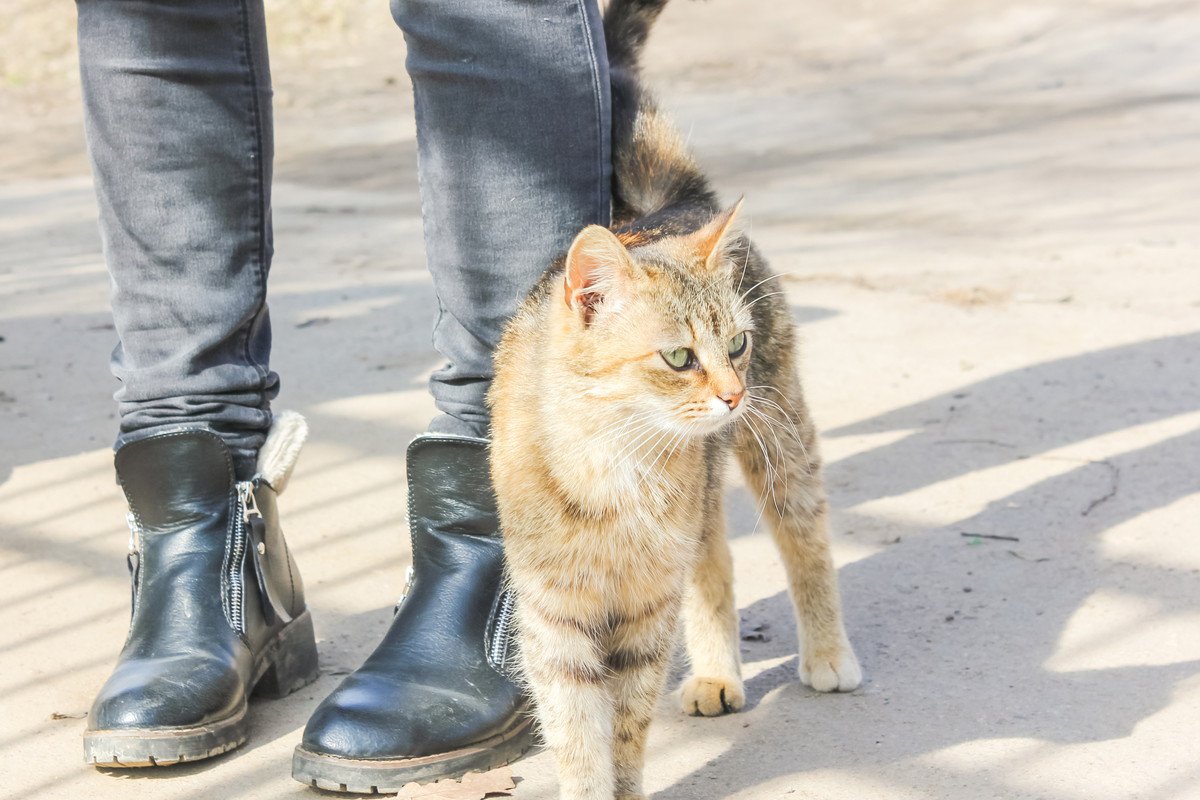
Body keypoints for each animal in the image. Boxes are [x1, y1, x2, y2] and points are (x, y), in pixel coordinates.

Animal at [487, 0, 864, 796]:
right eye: (679, 356)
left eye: (735, 344)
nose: (731, 393)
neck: (612, 468)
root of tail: (674, 207)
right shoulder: (555, 617)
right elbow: (577, 734)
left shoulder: (643, 612)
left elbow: (627, 729)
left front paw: (623, 785)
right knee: (714, 566)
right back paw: (718, 676)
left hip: (781, 441)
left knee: (804, 540)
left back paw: (826, 655)